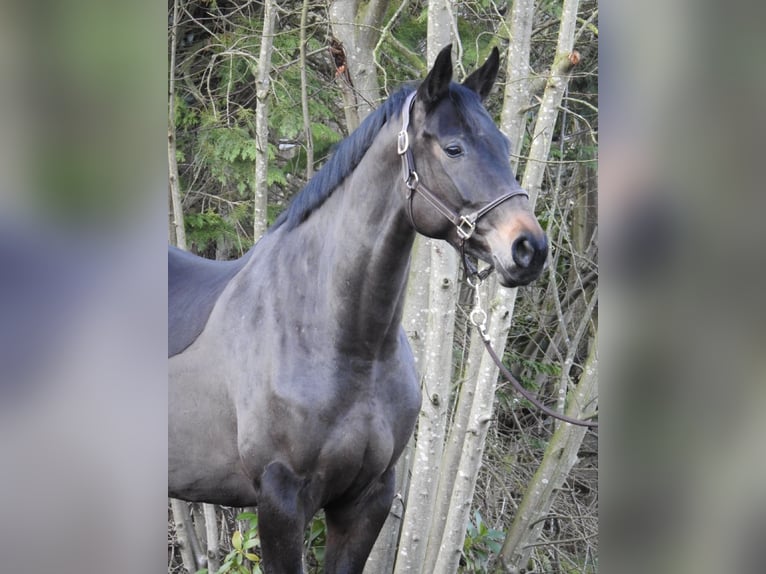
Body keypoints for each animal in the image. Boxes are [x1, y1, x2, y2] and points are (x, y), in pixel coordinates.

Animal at [170, 46, 548, 574]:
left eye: (504, 145)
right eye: (454, 148)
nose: (529, 248)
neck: (339, 341)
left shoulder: (367, 499)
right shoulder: (281, 501)